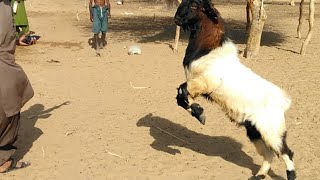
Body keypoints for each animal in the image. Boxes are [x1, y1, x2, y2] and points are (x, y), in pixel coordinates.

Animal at [175, 0, 296, 179]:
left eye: (195, 5)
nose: (177, 18)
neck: (209, 49)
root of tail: (283, 102)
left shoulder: (206, 81)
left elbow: (182, 93)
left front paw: (200, 113)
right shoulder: (196, 83)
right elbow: (181, 96)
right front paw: (199, 112)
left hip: (272, 130)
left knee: (285, 152)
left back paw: (289, 174)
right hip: (254, 131)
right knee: (269, 154)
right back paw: (259, 175)